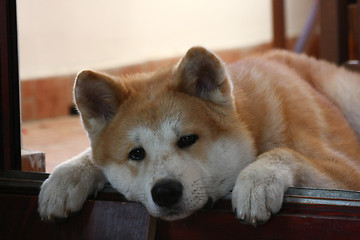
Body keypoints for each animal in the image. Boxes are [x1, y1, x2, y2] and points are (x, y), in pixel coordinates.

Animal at [37, 46, 360, 225]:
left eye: (188, 139)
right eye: (136, 153)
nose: (165, 191)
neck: (252, 125)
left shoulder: (348, 173)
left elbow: (284, 152)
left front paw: (257, 180)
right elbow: (90, 157)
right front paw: (67, 176)